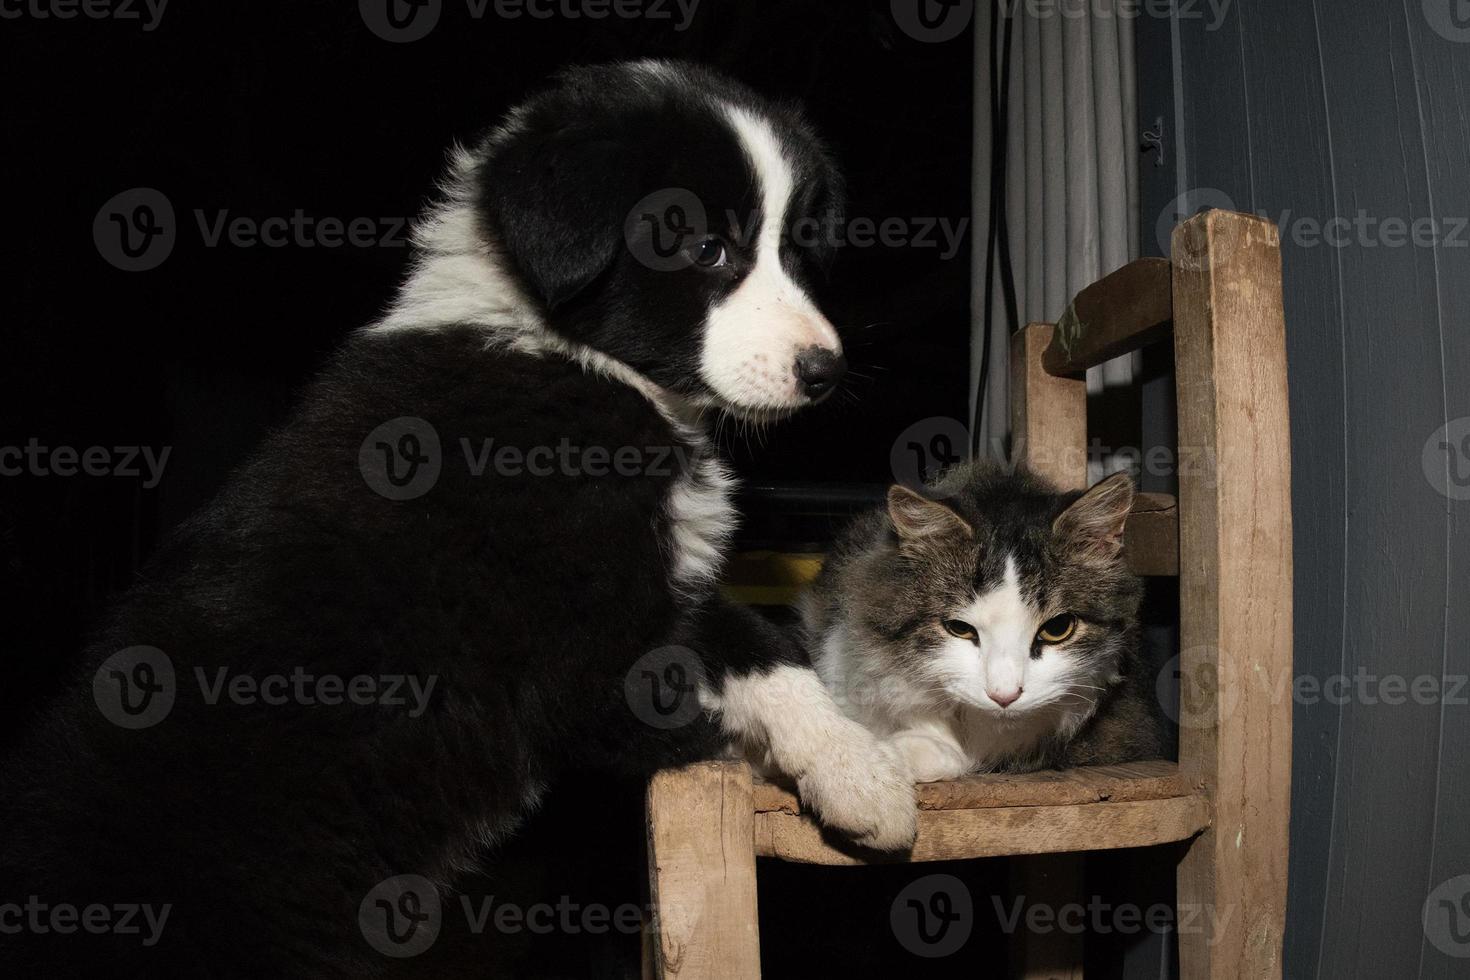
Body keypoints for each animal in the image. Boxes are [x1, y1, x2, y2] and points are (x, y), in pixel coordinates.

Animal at [0, 59, 911, 975]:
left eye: (794, 249)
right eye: (706, 249)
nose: (825, 370)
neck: (569, 355)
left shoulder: (664, 591)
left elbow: (765, 652)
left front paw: (864, 772)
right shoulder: (586, 657)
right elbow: (700, 700)